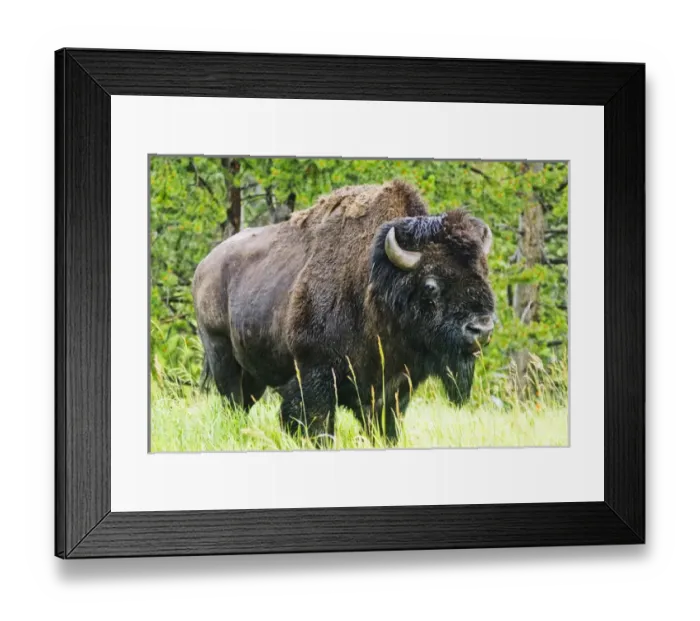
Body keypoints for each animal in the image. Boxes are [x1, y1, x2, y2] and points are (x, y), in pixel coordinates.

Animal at [193, 180, 496, 443]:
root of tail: (204, 266)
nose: (481, 328)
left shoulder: (395, 388)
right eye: (431, 285)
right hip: (221, 356)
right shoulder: (316, 375)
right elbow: (318, 426)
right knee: (232, 401)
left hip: (254, 371)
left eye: (484, 273)